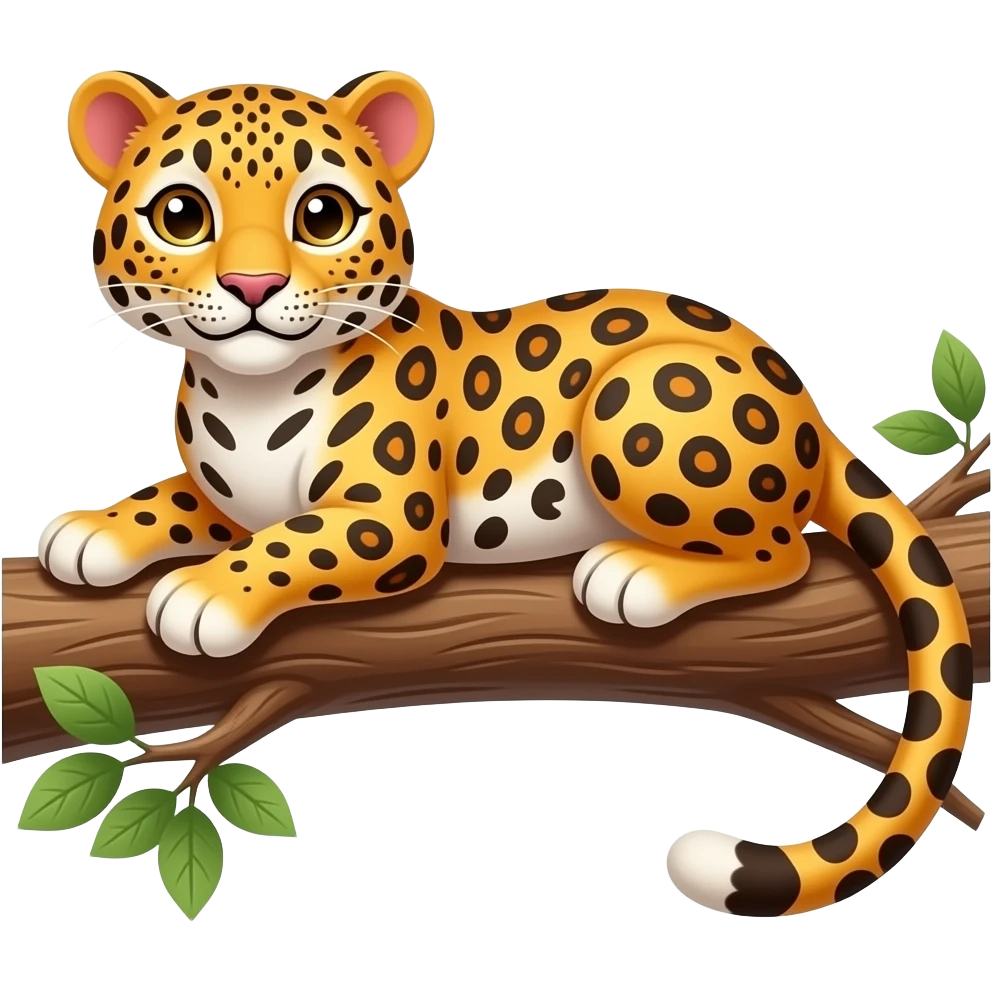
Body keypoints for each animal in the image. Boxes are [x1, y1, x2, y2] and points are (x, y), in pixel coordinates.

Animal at [49, 69, 974, 918]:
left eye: (321, 215)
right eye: (181, 215)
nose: (251, 288)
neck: (246, 393)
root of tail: (804, 402)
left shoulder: (391, 519)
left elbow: (288, 543)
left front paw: (205, 594)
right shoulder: (224, 494)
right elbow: (178, 500)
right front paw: (92, 531)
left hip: (638, 396)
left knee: (780, 551)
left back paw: (636, 574)